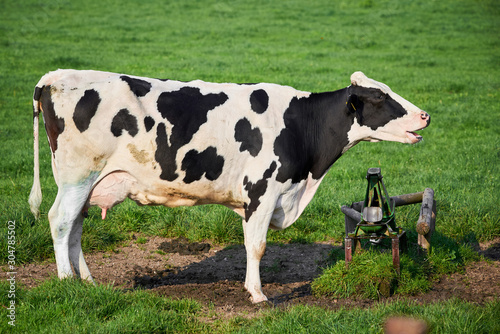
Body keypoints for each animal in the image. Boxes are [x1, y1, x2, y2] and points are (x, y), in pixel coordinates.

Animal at [29, 70, 430, 302]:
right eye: (380, 98)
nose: (425, 115)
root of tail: (56, 77)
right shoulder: (262, 191)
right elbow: (257, 245)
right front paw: (257, 294)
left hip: (88, 182)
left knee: (75, 227)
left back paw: (88, 281)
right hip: (78, 176)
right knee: (60, 221)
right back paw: (67, 281)